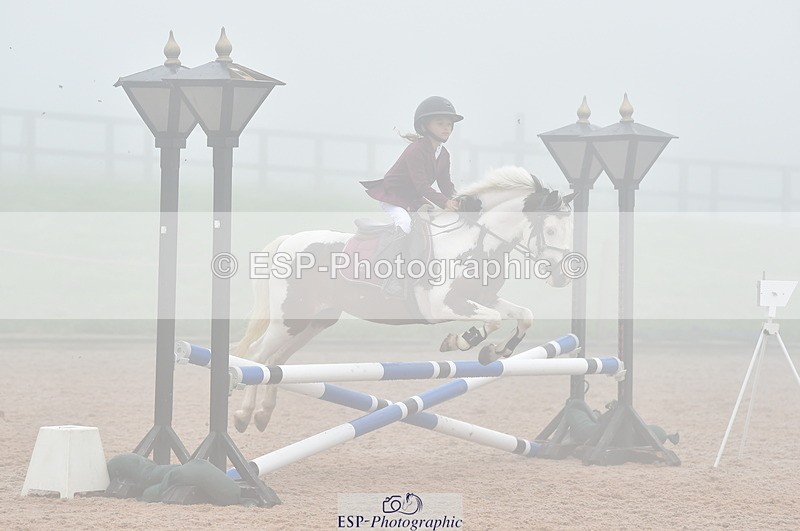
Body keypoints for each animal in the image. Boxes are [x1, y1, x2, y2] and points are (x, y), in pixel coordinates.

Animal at [233, 166, 575, 432]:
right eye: (550, 229)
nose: (561, 277)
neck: (472, 241)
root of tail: (289, 240)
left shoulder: (482, 297)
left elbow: (523, 315)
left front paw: (499, 350)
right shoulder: (443, 305)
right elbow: (492, 320)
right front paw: (464, 342)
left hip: (313, 322)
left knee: (276, 361)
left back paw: (263, 415)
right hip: (288, 320)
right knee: (259, 357)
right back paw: (243, 415)